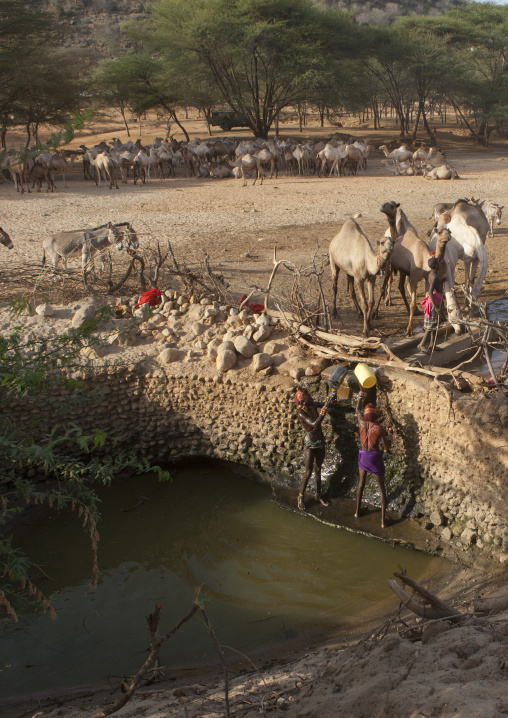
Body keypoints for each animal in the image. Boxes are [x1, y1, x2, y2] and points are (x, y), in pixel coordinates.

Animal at [329, 206, 395, 337]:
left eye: (392, 242)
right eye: (382, 243)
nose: (389, 248)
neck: (367, 259)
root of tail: (334, 239)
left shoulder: (371, 278)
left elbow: (371, 302)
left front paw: (369, 325)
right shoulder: (359, 278)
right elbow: (365, 303)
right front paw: (365, 331)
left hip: (349, 270)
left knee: (350, 290)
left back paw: (359, 313)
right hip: (333, 261)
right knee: (334, 286)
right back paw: (335, 313)